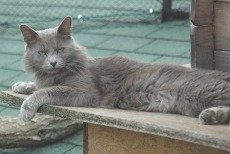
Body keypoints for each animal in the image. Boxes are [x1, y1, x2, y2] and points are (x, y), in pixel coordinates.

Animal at [12, 16, 230, 125]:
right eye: (42, 52)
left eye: (60, 50)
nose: (53, 63)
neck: (55, 75)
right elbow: (38, 86)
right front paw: (21, 85)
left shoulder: (84, 92)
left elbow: (47, 91)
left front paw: (26, 110)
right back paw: (211, 116)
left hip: (201, 92)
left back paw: (211, 115)